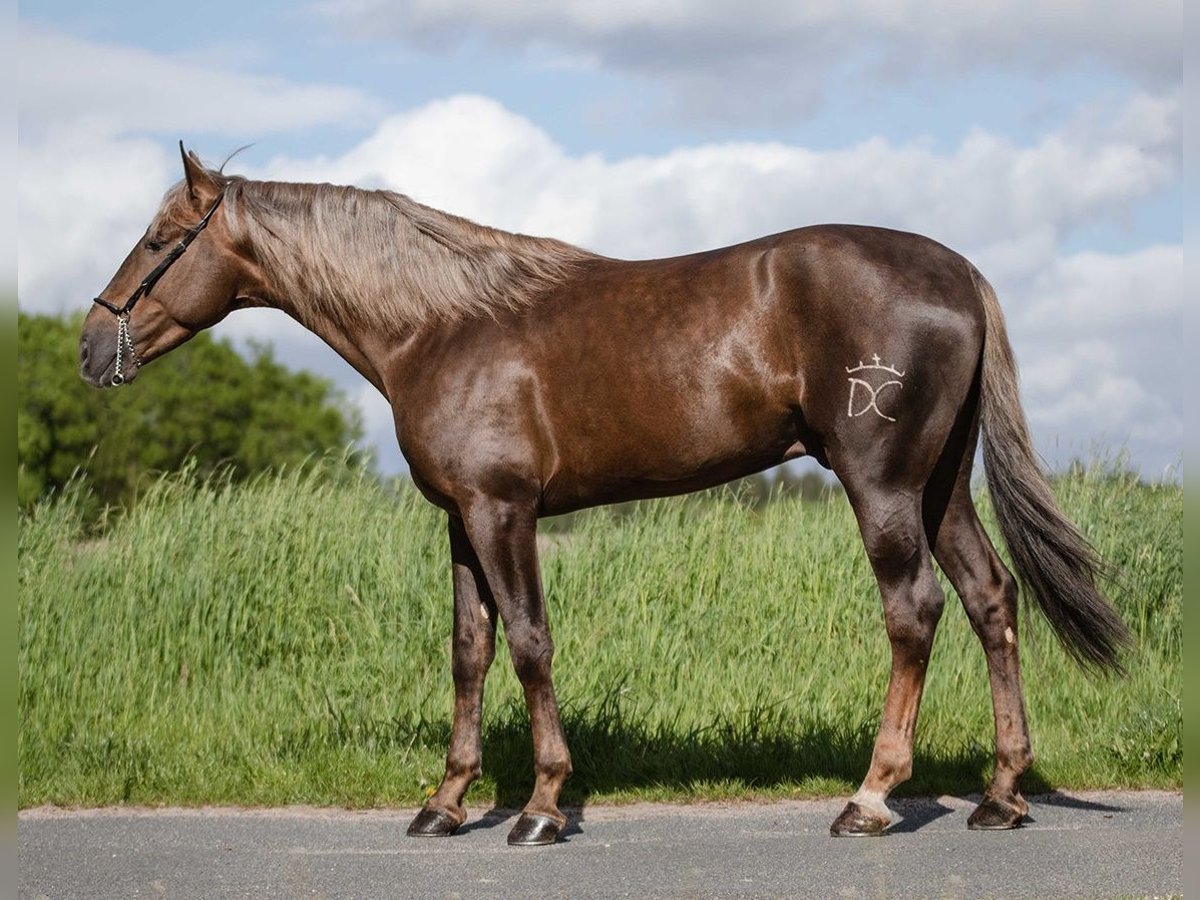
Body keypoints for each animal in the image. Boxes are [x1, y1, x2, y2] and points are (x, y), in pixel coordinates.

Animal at [81, 144, 1129, 846]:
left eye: (161, 237)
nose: (93, 347)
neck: (440, 326)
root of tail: (957, 270)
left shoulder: (503, 511)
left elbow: (530, 645)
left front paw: (543, 807)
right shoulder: (459, 520)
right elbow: (469, 651)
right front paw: (444, 804)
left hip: (881, 484)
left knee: (914, 611)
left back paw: (870, 797)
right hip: (938, 483)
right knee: (992, 600)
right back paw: (1000, 796)